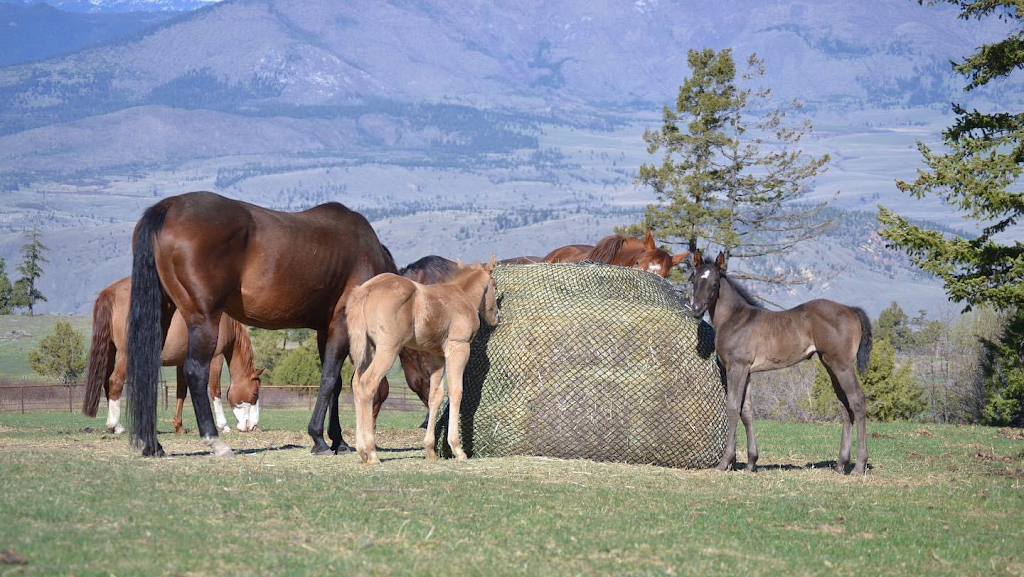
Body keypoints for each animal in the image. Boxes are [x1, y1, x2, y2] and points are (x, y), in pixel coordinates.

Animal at [82, 276, 264, 436]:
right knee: (115, 382)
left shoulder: (182, 362)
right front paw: (223, 425)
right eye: (255, 393)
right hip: (127, 356)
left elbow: (181, 391)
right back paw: (116, 425)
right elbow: (215, 390)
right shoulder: (216, 358)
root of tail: (110, 292)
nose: (253, 426)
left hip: (110, 351)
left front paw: (179, 426)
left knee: (106, 382)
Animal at [120, 191, 391, 459]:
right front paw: (320, 439)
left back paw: (153, 445)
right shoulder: (341, 326)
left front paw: (338, 441)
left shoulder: (325, 331)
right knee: (196, 371)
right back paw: (216, 442)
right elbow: (329, 379)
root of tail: (167, 207)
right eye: (380, 395)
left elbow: (335, 384)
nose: (372, 432)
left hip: (163, 314)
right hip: (204, 319)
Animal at [688, 251, 872, 475]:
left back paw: (859, 465)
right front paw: (751, 462)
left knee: (857, 401)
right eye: (693, 280)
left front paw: (725, 462)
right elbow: (747, 412)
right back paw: (840, 464)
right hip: (831, 365)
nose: (696, 310)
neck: (736, 319)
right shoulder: (747, 371)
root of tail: (851, 310)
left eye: (714, 283)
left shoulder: (736, 367)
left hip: (842, 365)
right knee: (845, 406)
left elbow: (732, 408)